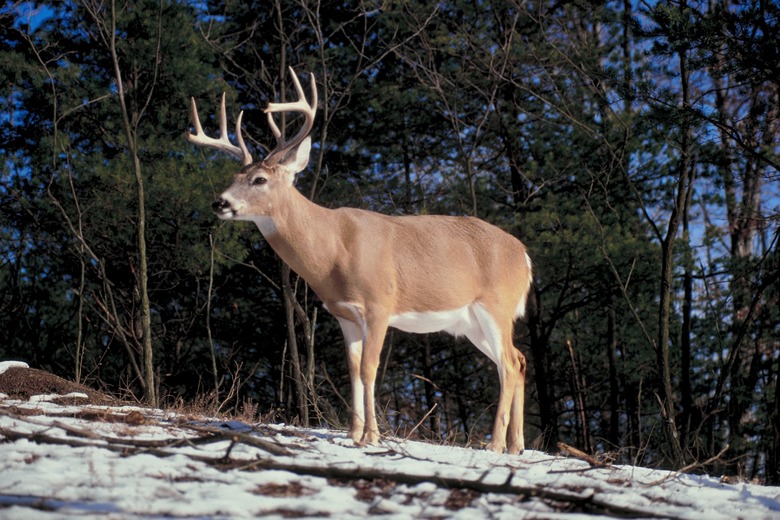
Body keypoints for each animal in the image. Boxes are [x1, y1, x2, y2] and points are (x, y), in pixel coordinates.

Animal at [186, 69, 532, 456]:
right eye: (232, 178)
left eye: (259, 179)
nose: (220, 202)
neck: (333, 250)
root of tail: (524, 255)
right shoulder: (344, 313)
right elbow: (352, 370)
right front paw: (353, 434)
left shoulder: (379, 304)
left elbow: (369, 368)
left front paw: (372, 436)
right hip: (470, 321)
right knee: (519, 360)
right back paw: (517, 445)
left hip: (496, 305)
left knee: (508, 364)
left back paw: (496, 445)